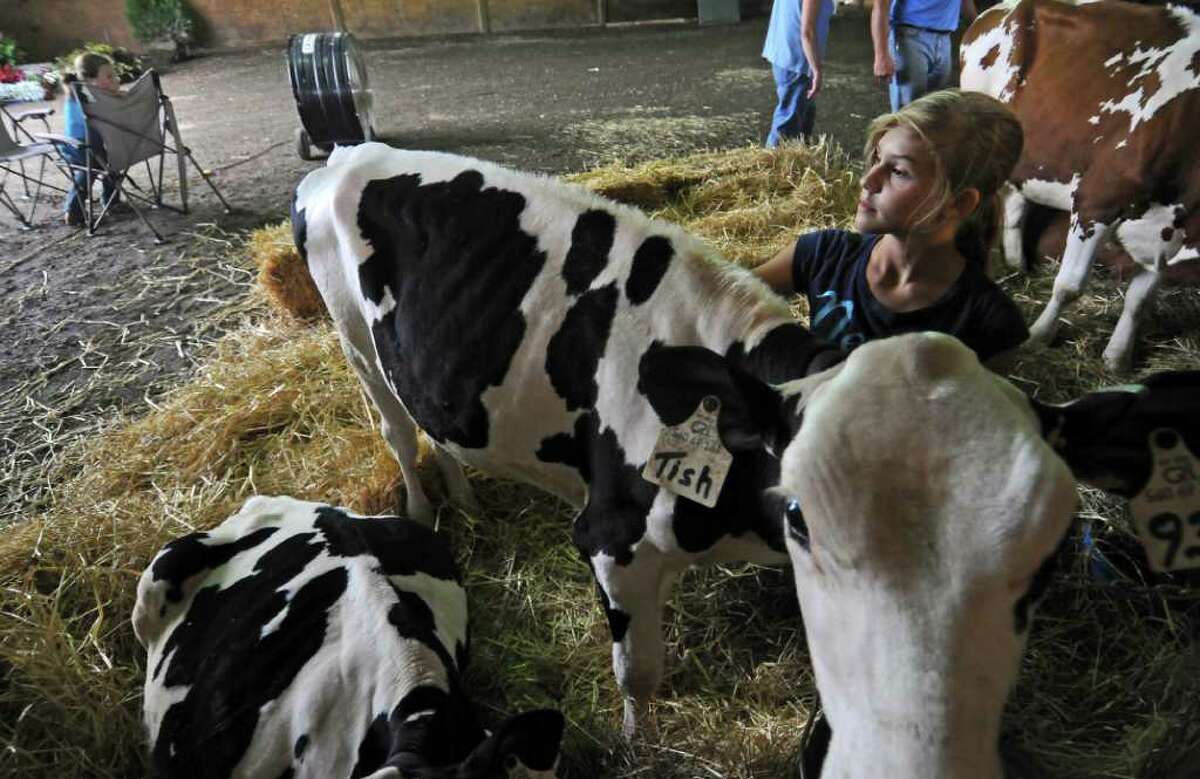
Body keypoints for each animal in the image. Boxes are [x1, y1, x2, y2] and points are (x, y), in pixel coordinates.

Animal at [292, 142, 1200, 772]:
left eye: (1050, 553)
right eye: (801, 514)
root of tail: (347, 152)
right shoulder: (611, 538)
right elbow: (638, 672)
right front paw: (637, 744)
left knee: (432, 423)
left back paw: (468, 495)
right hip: (353, 338)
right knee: (395, 429)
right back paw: (423, 509)